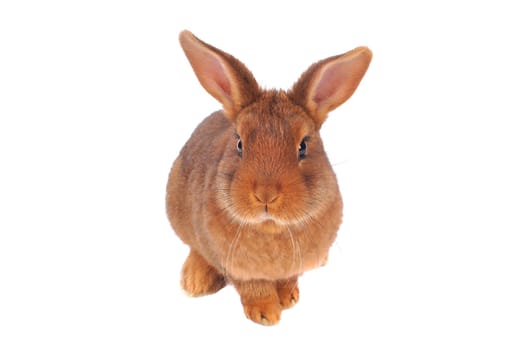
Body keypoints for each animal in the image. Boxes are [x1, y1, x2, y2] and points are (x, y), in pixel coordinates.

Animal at [167, 30, 374, 326]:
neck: (271, 228)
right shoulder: (240, 269)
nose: (266, 194)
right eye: (239, 144)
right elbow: (256, 288)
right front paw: (267, 314)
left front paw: (288, 298)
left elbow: (288, 280)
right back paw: (195, 281)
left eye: (303, 146)